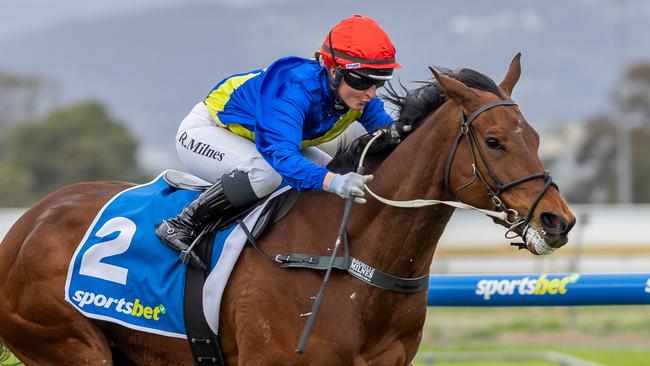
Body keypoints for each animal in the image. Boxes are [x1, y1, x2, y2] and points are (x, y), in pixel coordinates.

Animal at [0, 55, 572, 366]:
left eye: (536, 137)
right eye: (494, 141)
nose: (558, 220)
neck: (347, 258)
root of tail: (23, 226)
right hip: (67, 343)